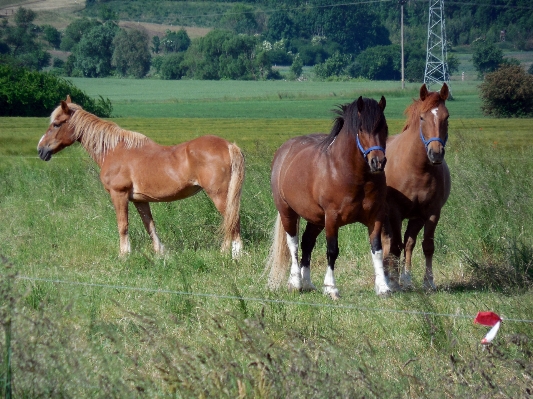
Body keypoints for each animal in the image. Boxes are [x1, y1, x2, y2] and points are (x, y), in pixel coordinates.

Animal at [37, 98, 245, 258]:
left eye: (56, 124)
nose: (41, 150)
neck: (113, 151)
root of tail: (229, 145)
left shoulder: (119, 194)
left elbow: (123, 225)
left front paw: (124, 255)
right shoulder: (140, 200)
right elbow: (149, 225)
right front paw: (160, 252)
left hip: (219, 195)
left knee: (232, 220)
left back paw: (234, 254)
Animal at [266, 95, 390, 298]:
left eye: (383, 127)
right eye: (361, 128)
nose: (377, 162)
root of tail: (283, 150)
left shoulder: (376, 217)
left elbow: (377, 250)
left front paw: (383, 287)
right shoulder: (332, 218)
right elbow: (332, 251)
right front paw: (331, 288)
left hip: (316, 219)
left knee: (307, 243)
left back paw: (307, 283)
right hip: (288, 212)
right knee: (293, 244)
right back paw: (295, 283)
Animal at [380, 84, 450, 290]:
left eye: (446, 117)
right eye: (422, 117)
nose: (436, 153)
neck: (417, 168)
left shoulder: (432, 212)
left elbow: (427, 246)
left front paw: (428, 282)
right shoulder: (394, 212)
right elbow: (395, 246)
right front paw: (393, 281)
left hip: (416, 217)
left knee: (409, 242)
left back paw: (406, 278)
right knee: (387, 242)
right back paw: (387, 276)